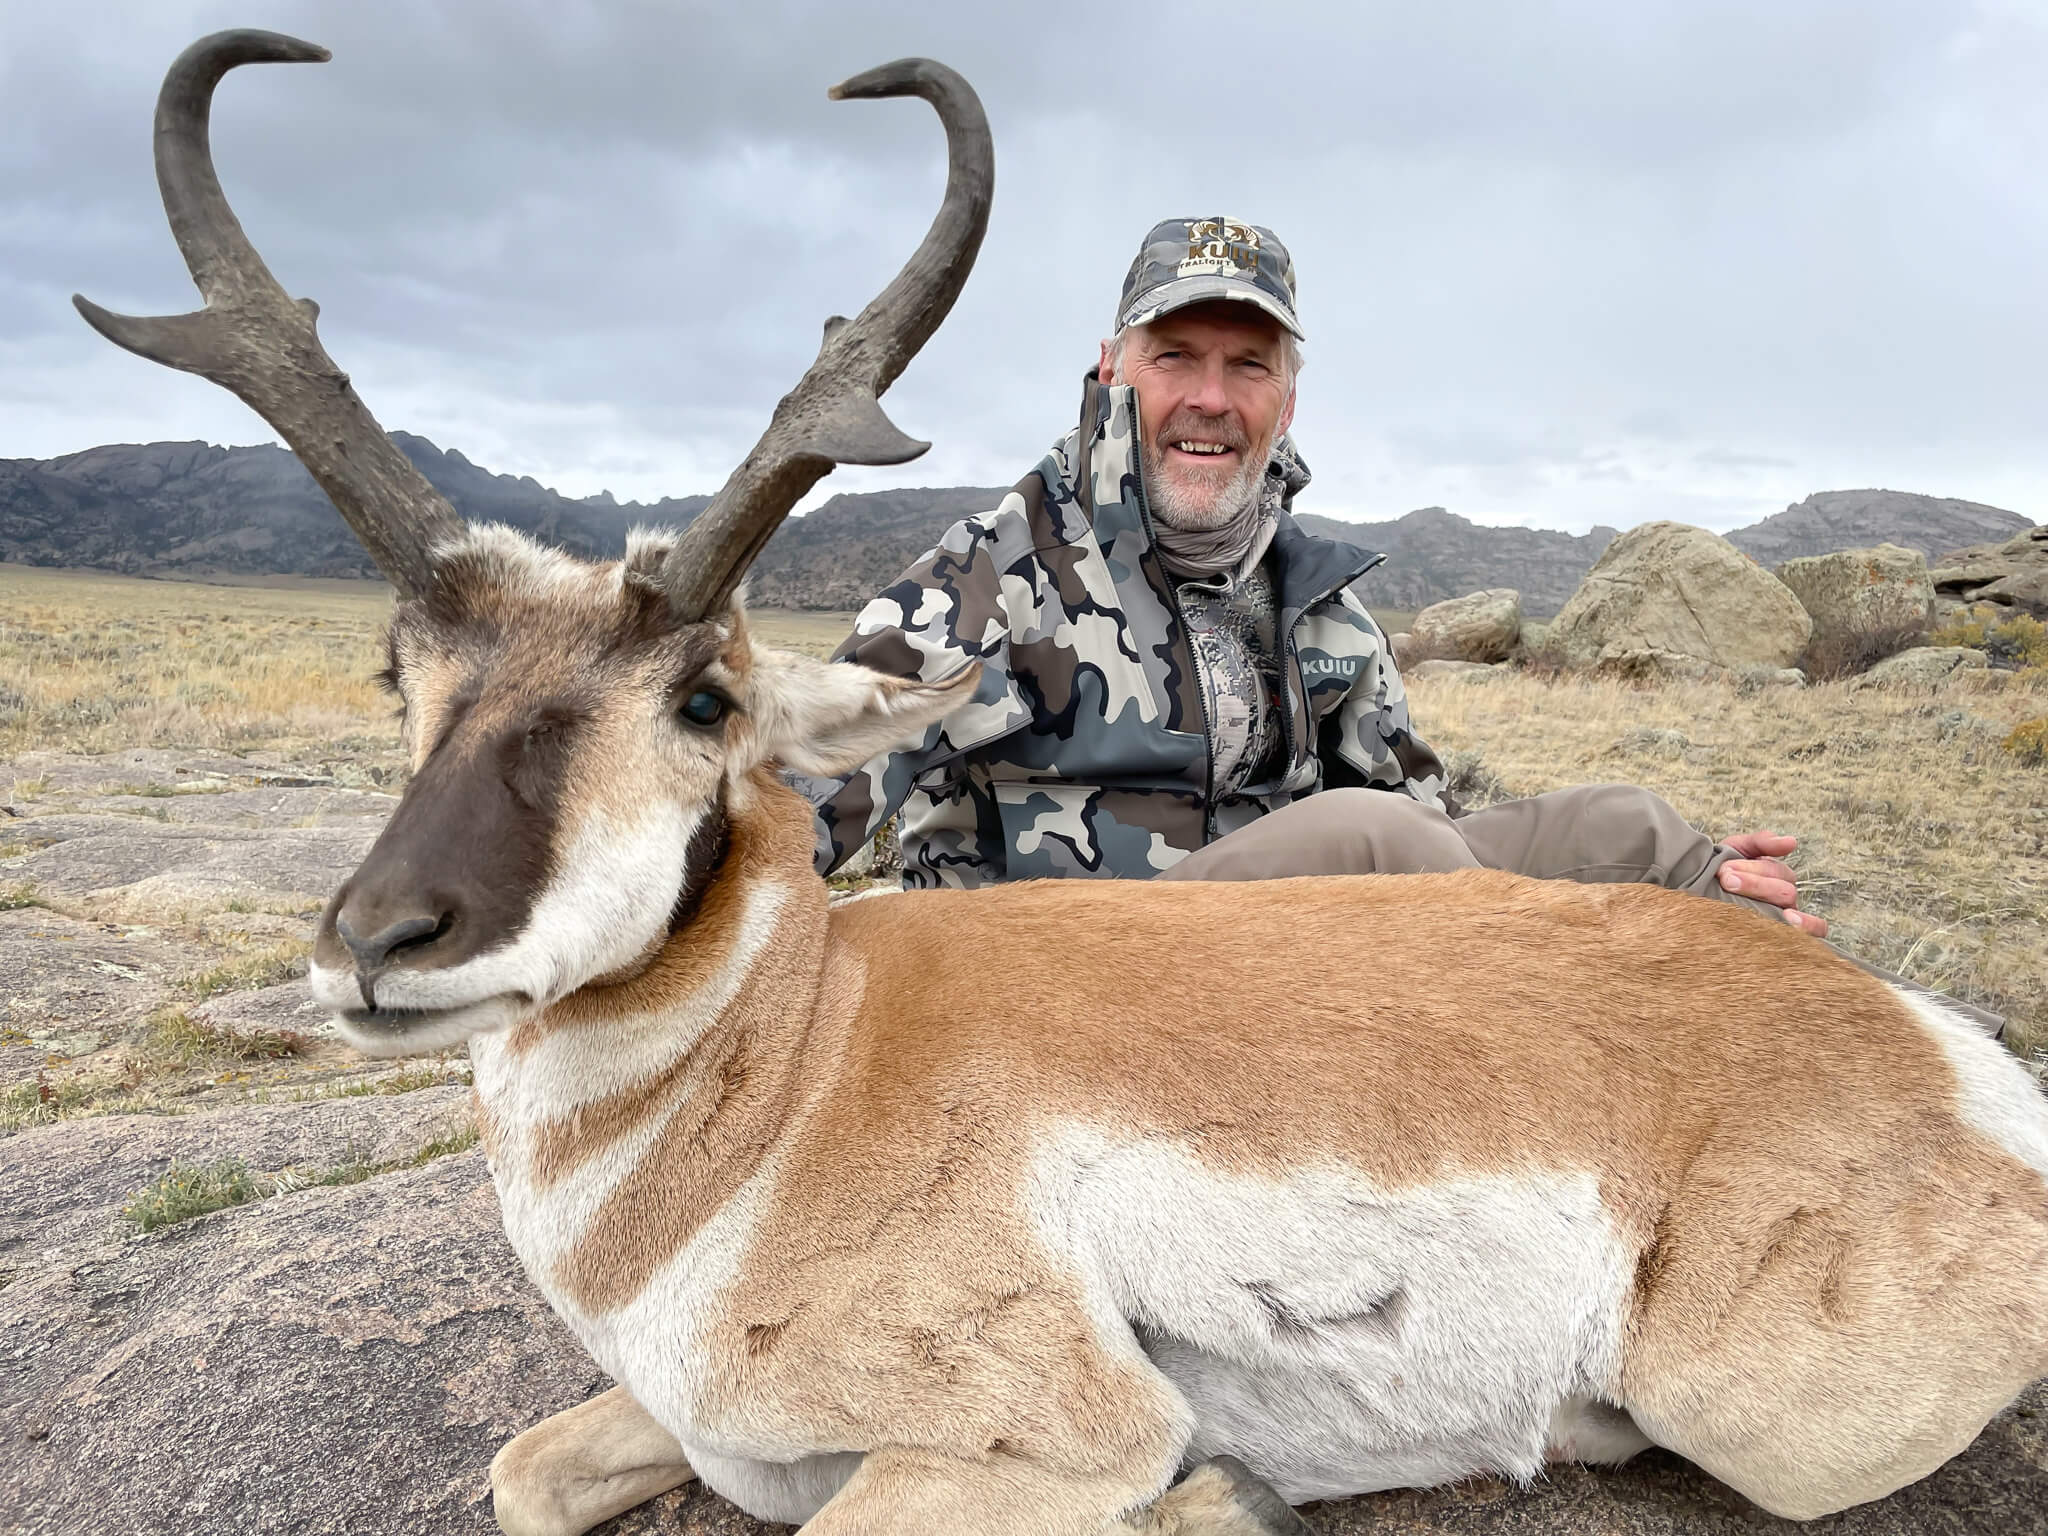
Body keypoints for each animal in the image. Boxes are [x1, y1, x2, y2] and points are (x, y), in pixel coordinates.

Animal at [83, 30, 2048, 1536]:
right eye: (400, 677)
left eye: (705, 697)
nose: (378, 941)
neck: (798, 1061)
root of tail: (1926, 1046)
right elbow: (518, 1465)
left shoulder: (1031, 1440)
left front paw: (1223, 1493)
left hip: (1775, 1411)